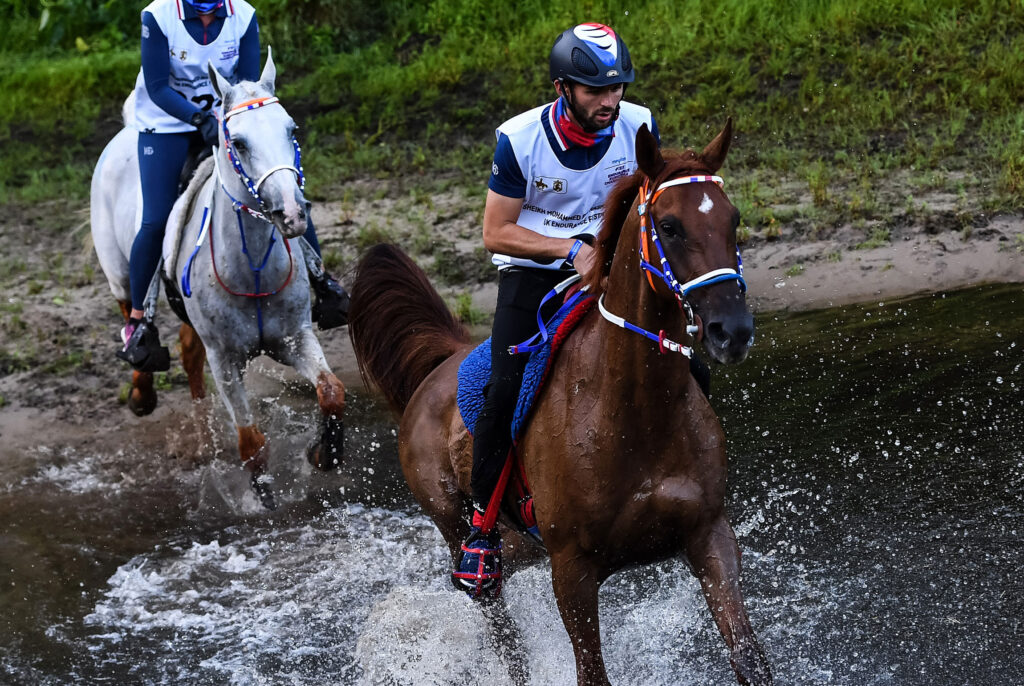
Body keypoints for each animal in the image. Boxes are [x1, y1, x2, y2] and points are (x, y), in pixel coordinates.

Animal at [89, 51, 344, 507]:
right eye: (238, 142)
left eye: (292, 130)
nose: (293, 213)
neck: (253, 268)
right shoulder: (225, 360)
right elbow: (252, 442)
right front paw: (265, 506)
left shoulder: (294, 338)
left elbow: (331, 391)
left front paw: (323, 454)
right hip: (117, 274)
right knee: (131, 315)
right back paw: (141, 389)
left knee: (189, 351)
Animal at [348, 120, 770, 683]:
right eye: (670, 225)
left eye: (733, 218)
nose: (733, 331)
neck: (634, 411)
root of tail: (440, 366)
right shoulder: (572, 571)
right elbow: (592, 673)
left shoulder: (709, 536)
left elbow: (749, 657)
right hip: (461, 534)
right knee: (502, 632)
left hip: (522, 542)